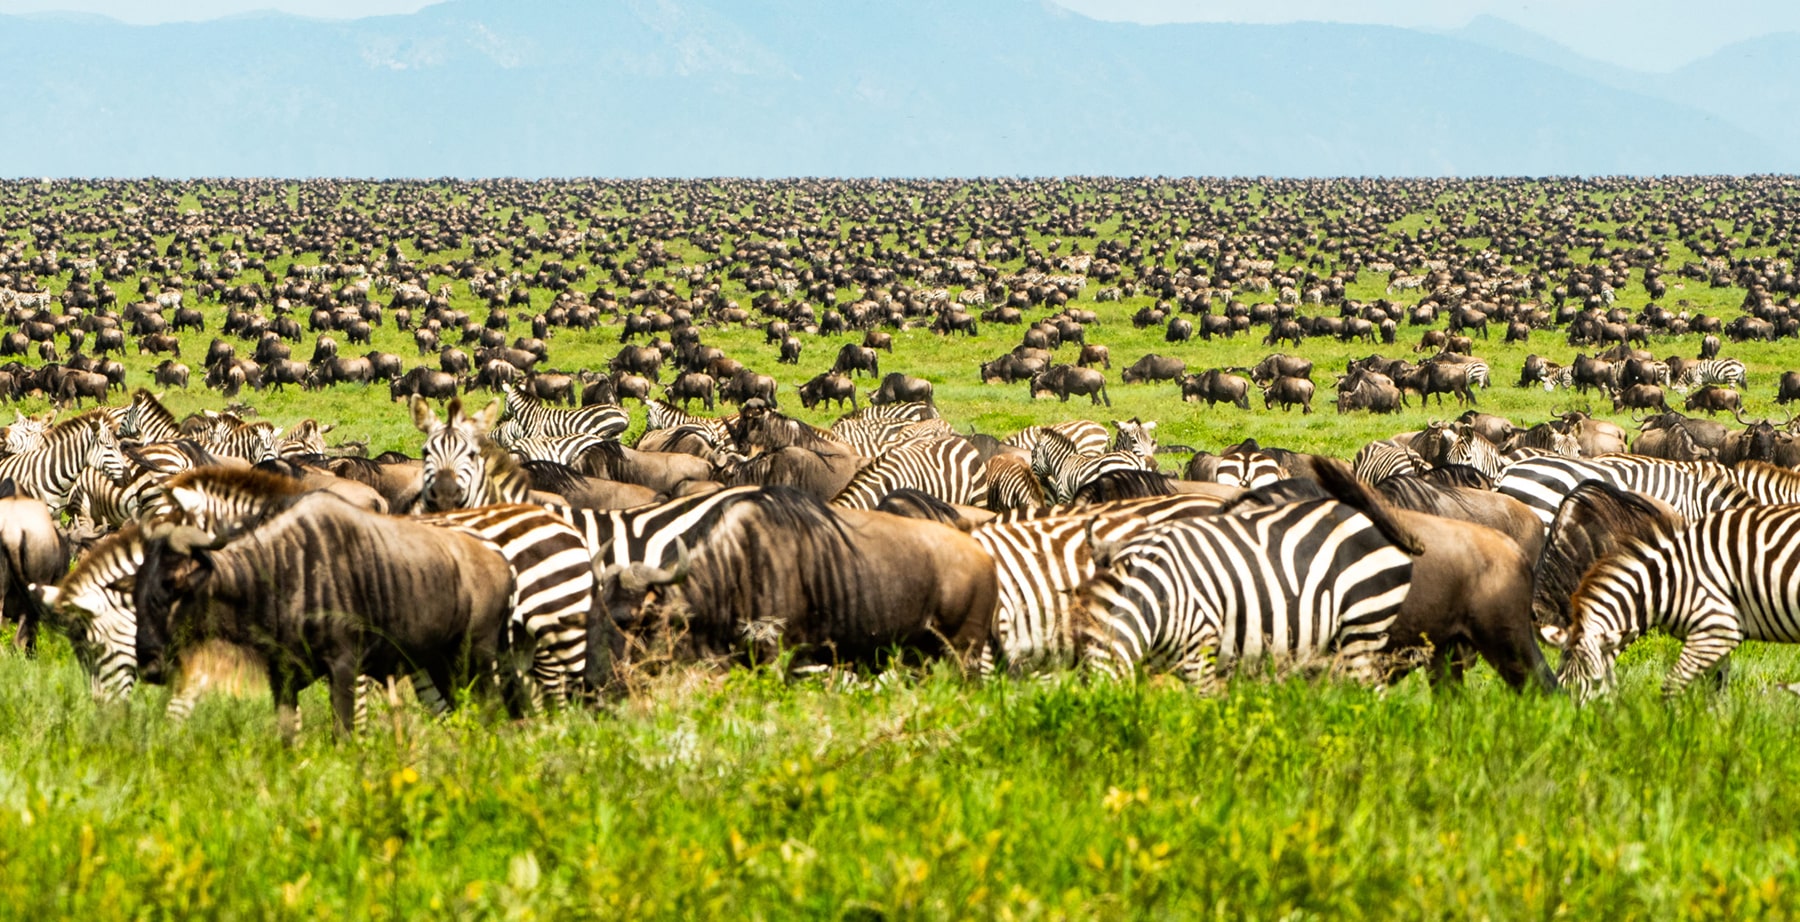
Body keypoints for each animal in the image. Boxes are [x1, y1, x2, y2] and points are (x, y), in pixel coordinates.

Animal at [1548, 504, 1800, 698]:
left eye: (1597, 681)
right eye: (1561, 683)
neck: (1667, 582)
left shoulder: (1717, 629)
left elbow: (1672, 685)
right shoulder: (1714, 638)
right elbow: (1716, 692)